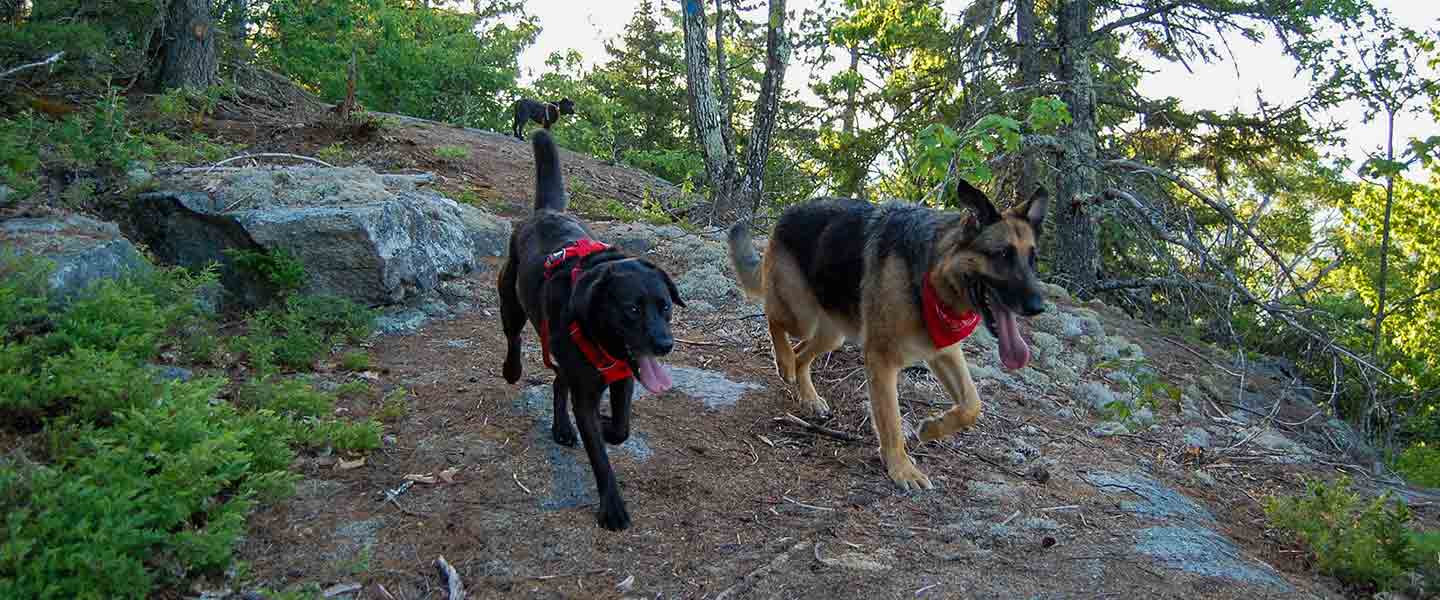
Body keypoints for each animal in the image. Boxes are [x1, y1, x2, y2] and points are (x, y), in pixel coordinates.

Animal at [498, 127, 682, 529]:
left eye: (664, 307)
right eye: (632, 309)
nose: (664, 344)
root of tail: (545, 212)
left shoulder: (623, 378)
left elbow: (621, 429)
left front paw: (606, 423)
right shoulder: (586, 393)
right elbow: (599, 457)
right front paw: (612, 508)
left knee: (557, 381)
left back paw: (562, 428)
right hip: (511, 303)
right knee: (513, 338)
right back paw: (512, 370)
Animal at [731, 182, 1048, 492]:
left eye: (1033, 260)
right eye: (1003, 255)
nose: (1038, 307)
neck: (932, 272)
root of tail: (789, 212)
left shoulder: (944, 351)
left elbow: (972, 404)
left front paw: (932, 429)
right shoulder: (881, 360)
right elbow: (891, 422)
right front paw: (902, 469)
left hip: (832, 334)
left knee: (801, 356)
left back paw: (809, 396)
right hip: (801, 315)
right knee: (774, 319)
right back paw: (783, 361)